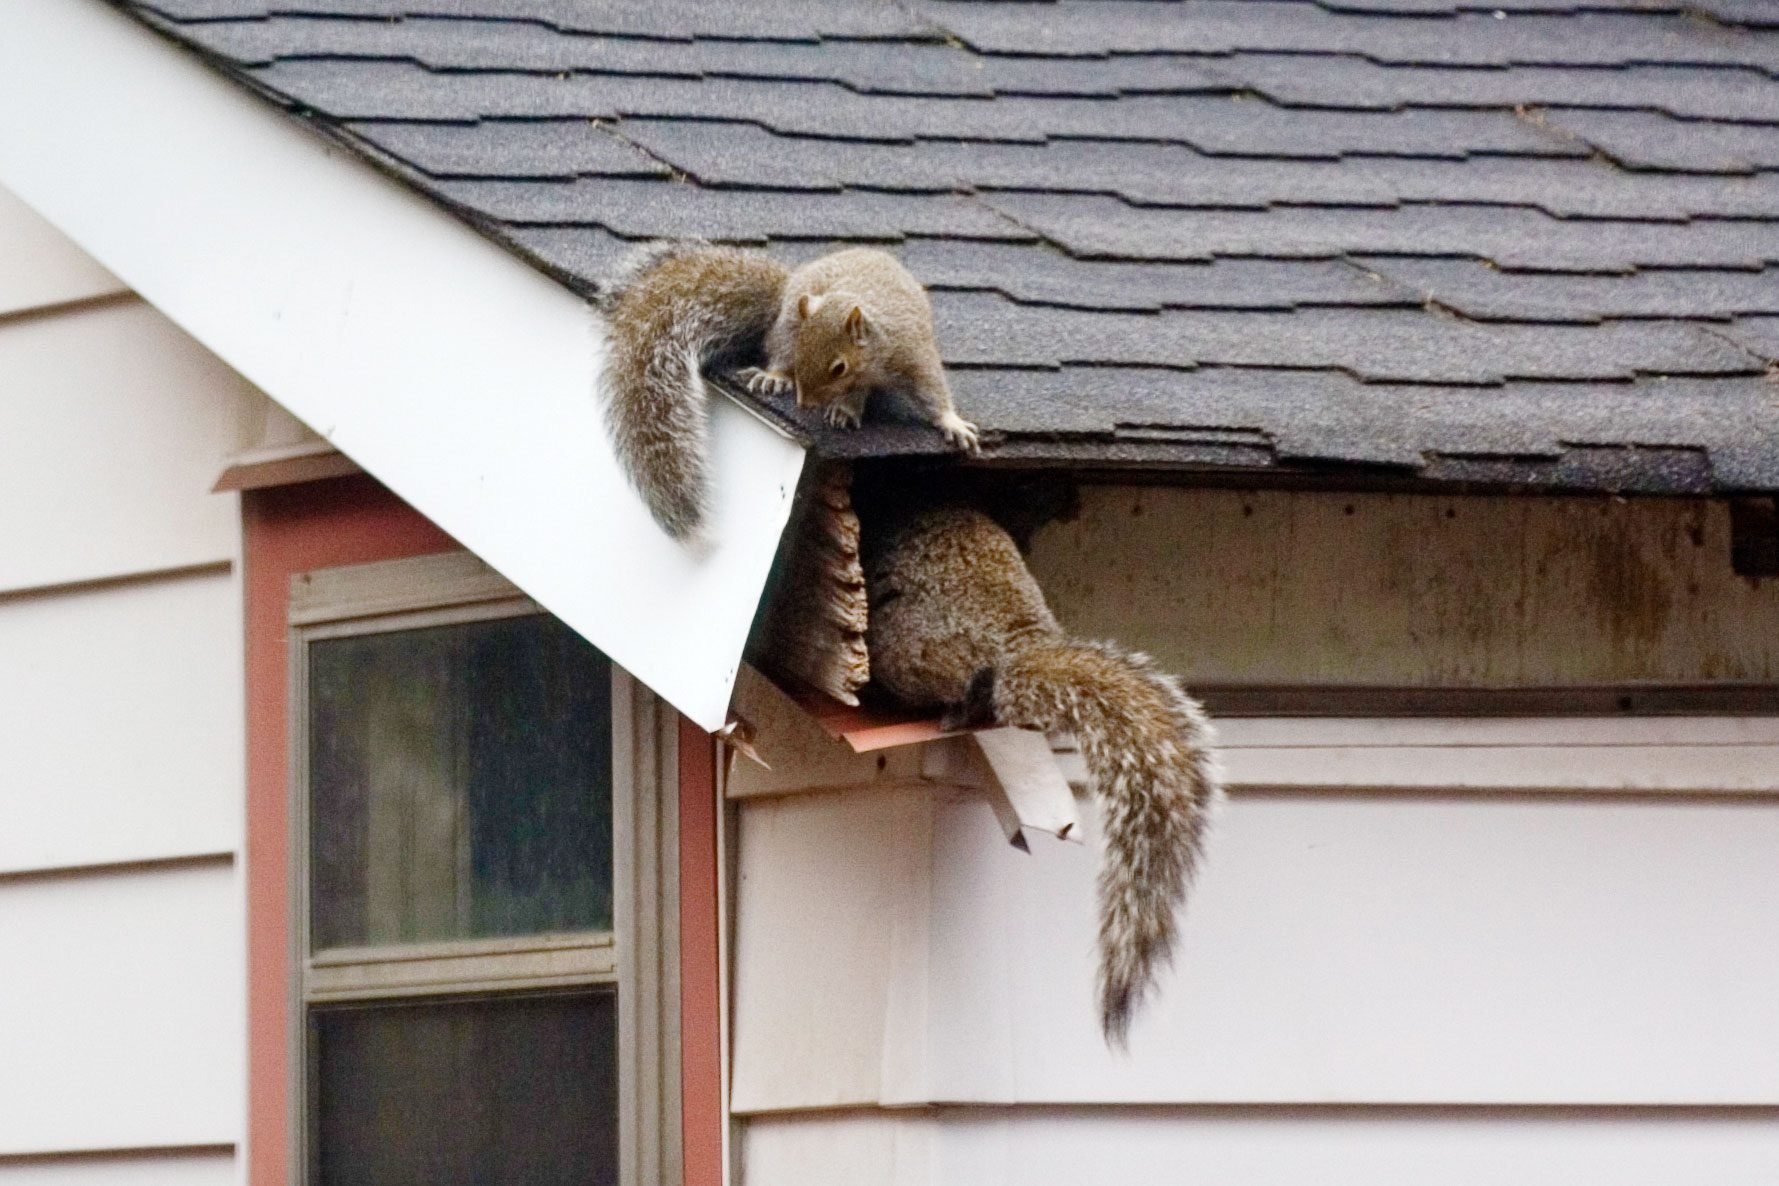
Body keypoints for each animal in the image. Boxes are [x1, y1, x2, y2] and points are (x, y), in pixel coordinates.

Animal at [601, 243, 989, 540]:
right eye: (802, 352)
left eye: (838, 367)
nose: (804, 403)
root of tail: (789, 286)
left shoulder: (911, 352)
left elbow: (931, 389)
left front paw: (952, 423)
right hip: (786, 324)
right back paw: (774, 377)